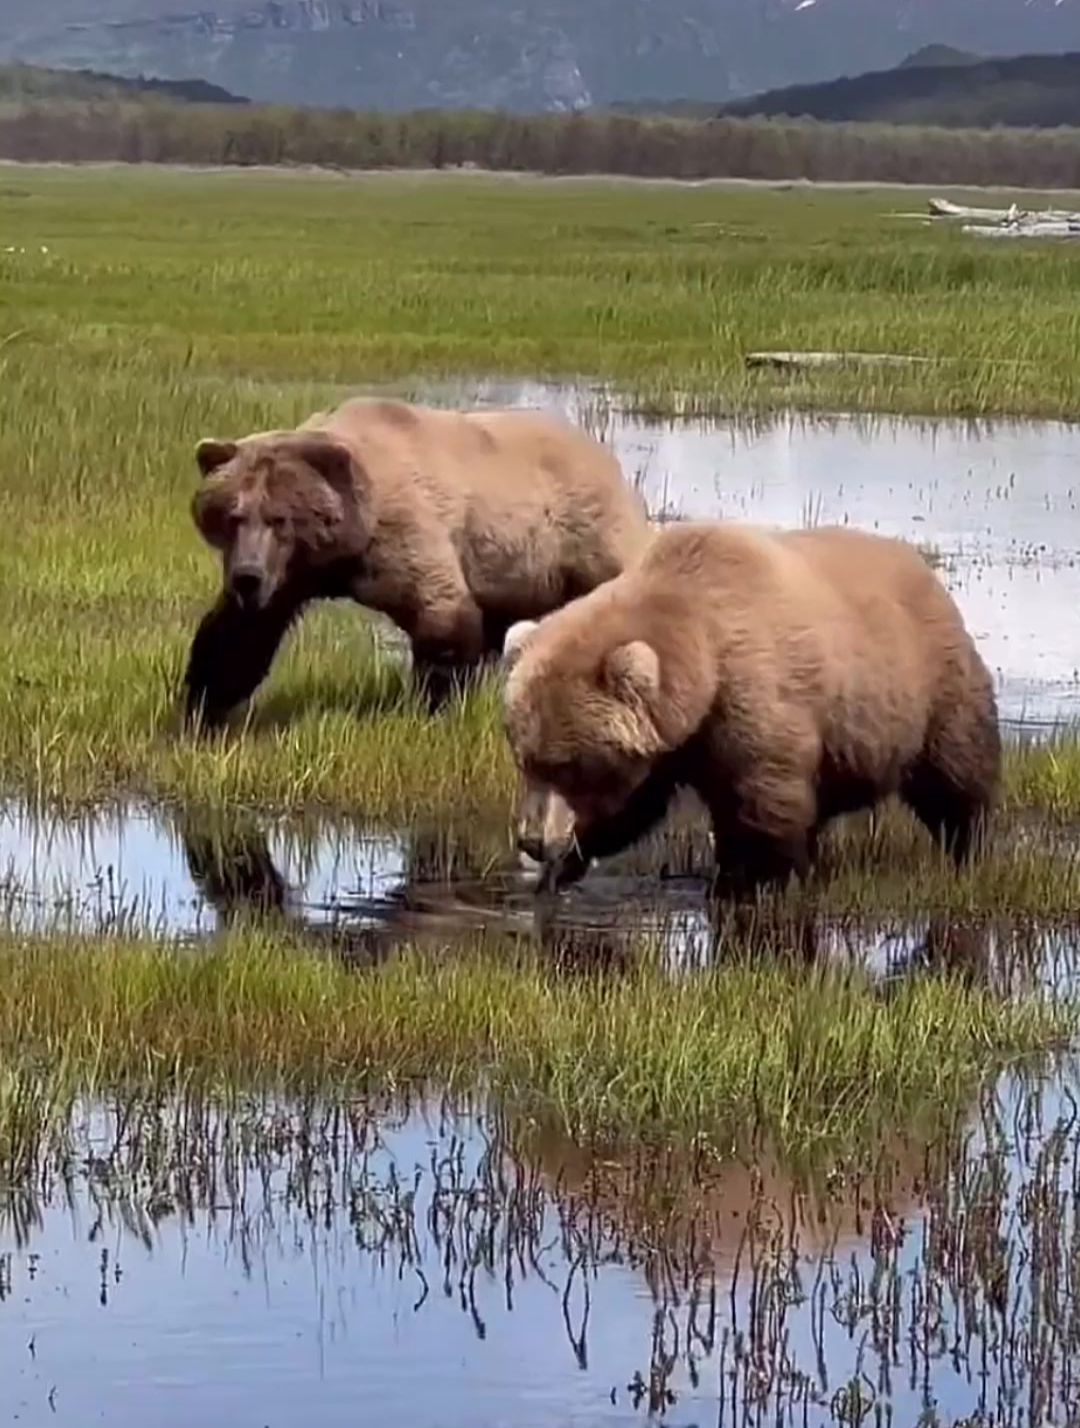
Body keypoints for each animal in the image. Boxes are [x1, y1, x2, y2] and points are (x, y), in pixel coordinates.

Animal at [181, 394, 648, 731]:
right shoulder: (292, 574)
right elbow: (241, 635)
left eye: (279, 519)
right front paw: (202, 707)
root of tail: (609, 459)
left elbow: (441, 615)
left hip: (583, 536)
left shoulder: (403, 528)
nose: (246, 576)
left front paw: (434, 705)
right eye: (233, 515)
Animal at [502, 519, 1000, 896]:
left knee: (954, 777)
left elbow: (763, 809)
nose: (531, 840)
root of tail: (924, 569)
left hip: (927, 685)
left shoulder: (752, 697)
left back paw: (968, 850)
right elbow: (634, 804)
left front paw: (748, 884)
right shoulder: (671, 740)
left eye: (567, 765)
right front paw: (562, 868)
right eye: (524, 759)